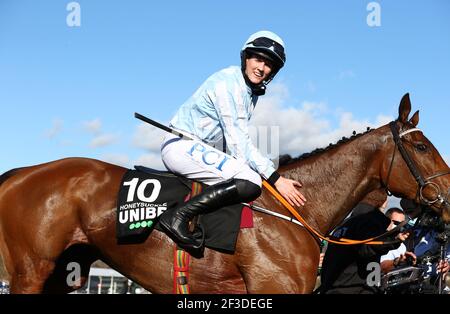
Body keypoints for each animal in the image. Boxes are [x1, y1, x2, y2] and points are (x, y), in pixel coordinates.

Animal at [0, 92, 448, 292]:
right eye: (422, 147)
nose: (447, 203)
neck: (298, 213)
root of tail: (22, 173)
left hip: (69, 270)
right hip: (31, 271)